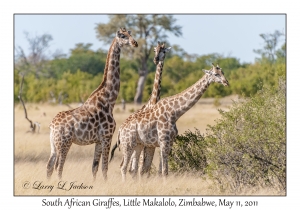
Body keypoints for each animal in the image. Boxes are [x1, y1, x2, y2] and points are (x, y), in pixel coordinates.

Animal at [46, 27, 138, 180]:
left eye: (131, 34)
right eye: (122, 36)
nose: (135, 43)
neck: (109, 100)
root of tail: (52, 125)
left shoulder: (99, 140)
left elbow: (94, 167)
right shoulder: (107, 137)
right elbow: (104, 167)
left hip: (54, 143)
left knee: (49, 165)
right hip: (64, 143)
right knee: (59, 167)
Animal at [110, 41, 171, 177]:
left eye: (164, 51)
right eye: (154, 50)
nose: (156, 59)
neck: (153, 102)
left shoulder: (152, 144)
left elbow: (146, 168)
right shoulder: (147, 144)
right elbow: (142, 168)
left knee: (132, 167)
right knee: (127, 166)